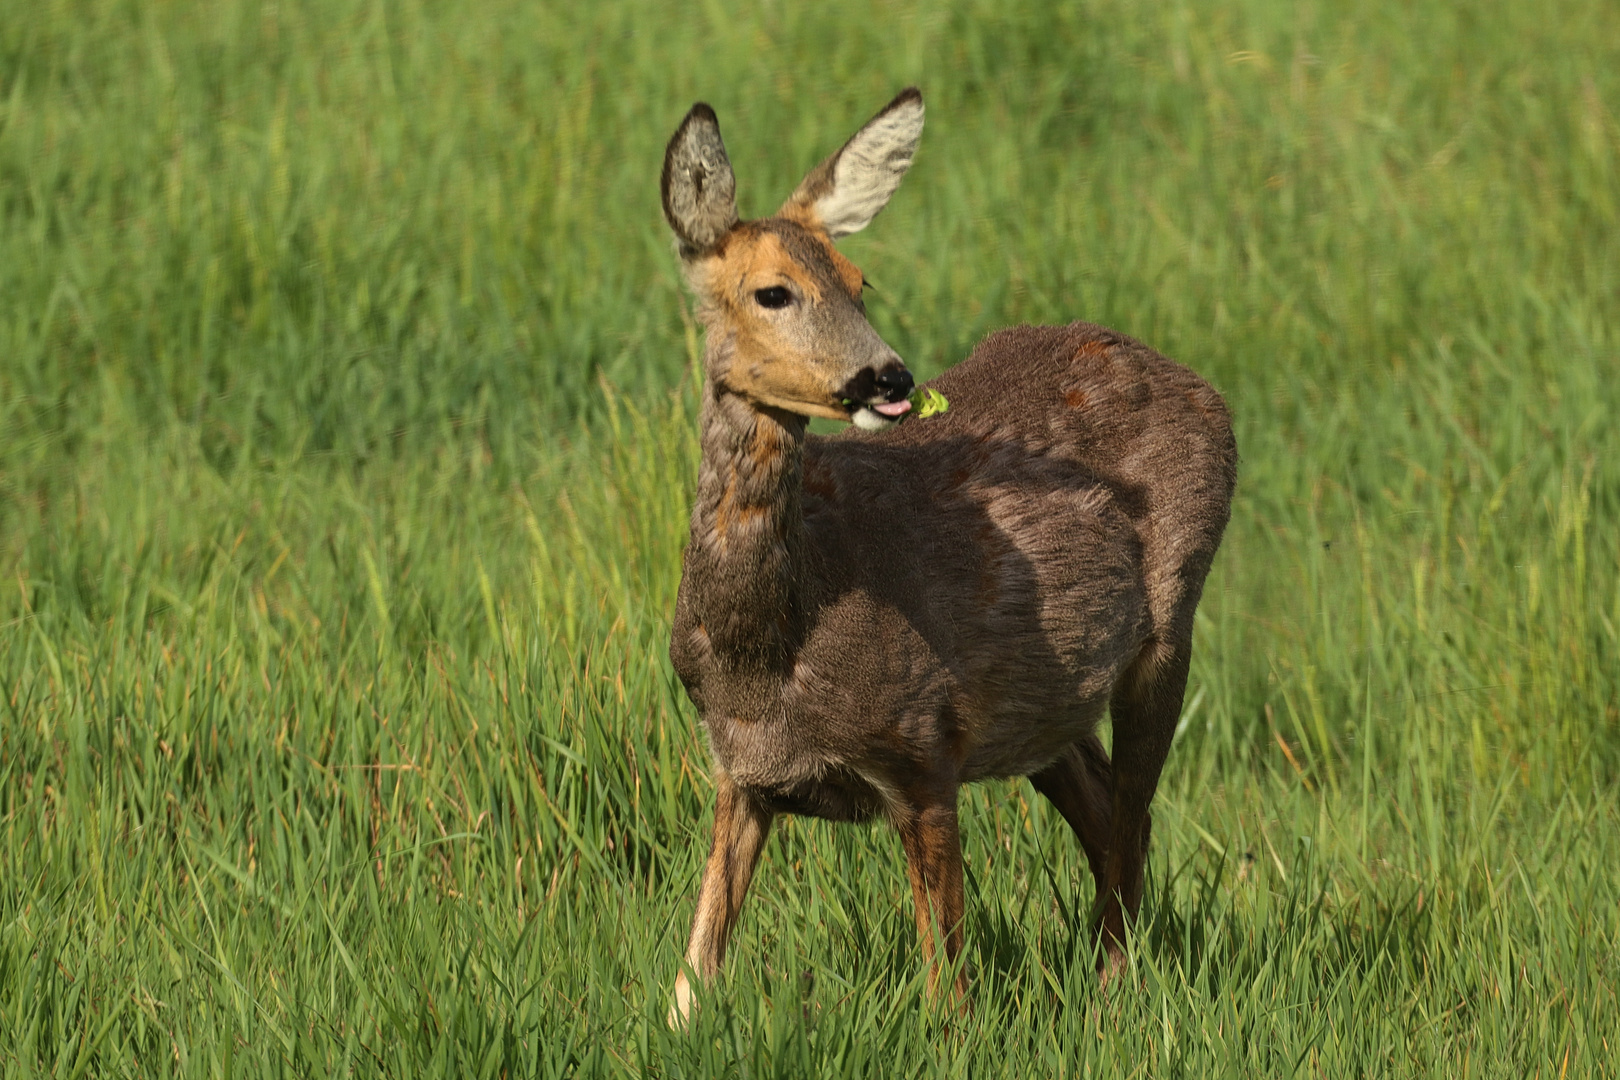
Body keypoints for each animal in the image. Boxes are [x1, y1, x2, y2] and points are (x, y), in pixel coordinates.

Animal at [664, 86, 1231, 1023]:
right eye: (772, 292)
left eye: (860, 281)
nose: (888, 378)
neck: (773, 647)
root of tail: (1198, 383)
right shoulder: (740, 774)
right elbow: (693, 969)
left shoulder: (922, 744)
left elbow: (947, 994)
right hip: (1042, 706)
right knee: (1105, 804)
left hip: (1170, 626)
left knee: (1134, 812)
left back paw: (1112, 989)